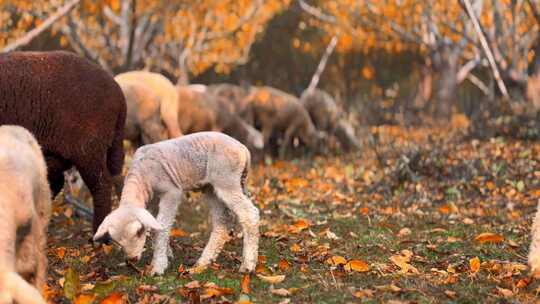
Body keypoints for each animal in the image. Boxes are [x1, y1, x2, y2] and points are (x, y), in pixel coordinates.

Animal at [93, 132, 260, 274]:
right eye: (117, 241)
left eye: (139, 231)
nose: (132, 259)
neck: (142, 177)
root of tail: (243, 149)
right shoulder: (152, 200)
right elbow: (157, 225)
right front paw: (167, 253)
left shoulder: (171, 191)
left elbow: (162, 227)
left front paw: (158, 266)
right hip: (211, 187)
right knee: (222, 222)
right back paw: (203, 263)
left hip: (226, 180)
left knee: (249, 214)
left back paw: (247, 265)